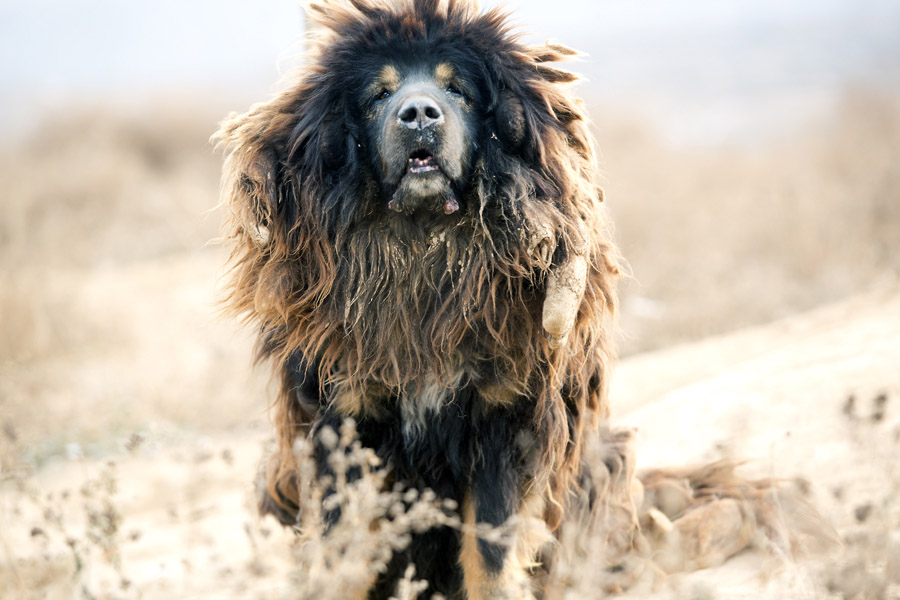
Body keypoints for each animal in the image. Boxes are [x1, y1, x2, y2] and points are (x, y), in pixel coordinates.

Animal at [217, 2, 624, 596]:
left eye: (457, 90)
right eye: (379, 95)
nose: (418, 114)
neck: (421, 255)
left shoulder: (503, 423)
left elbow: (490, 553)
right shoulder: (343, 425)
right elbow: (343, 552)